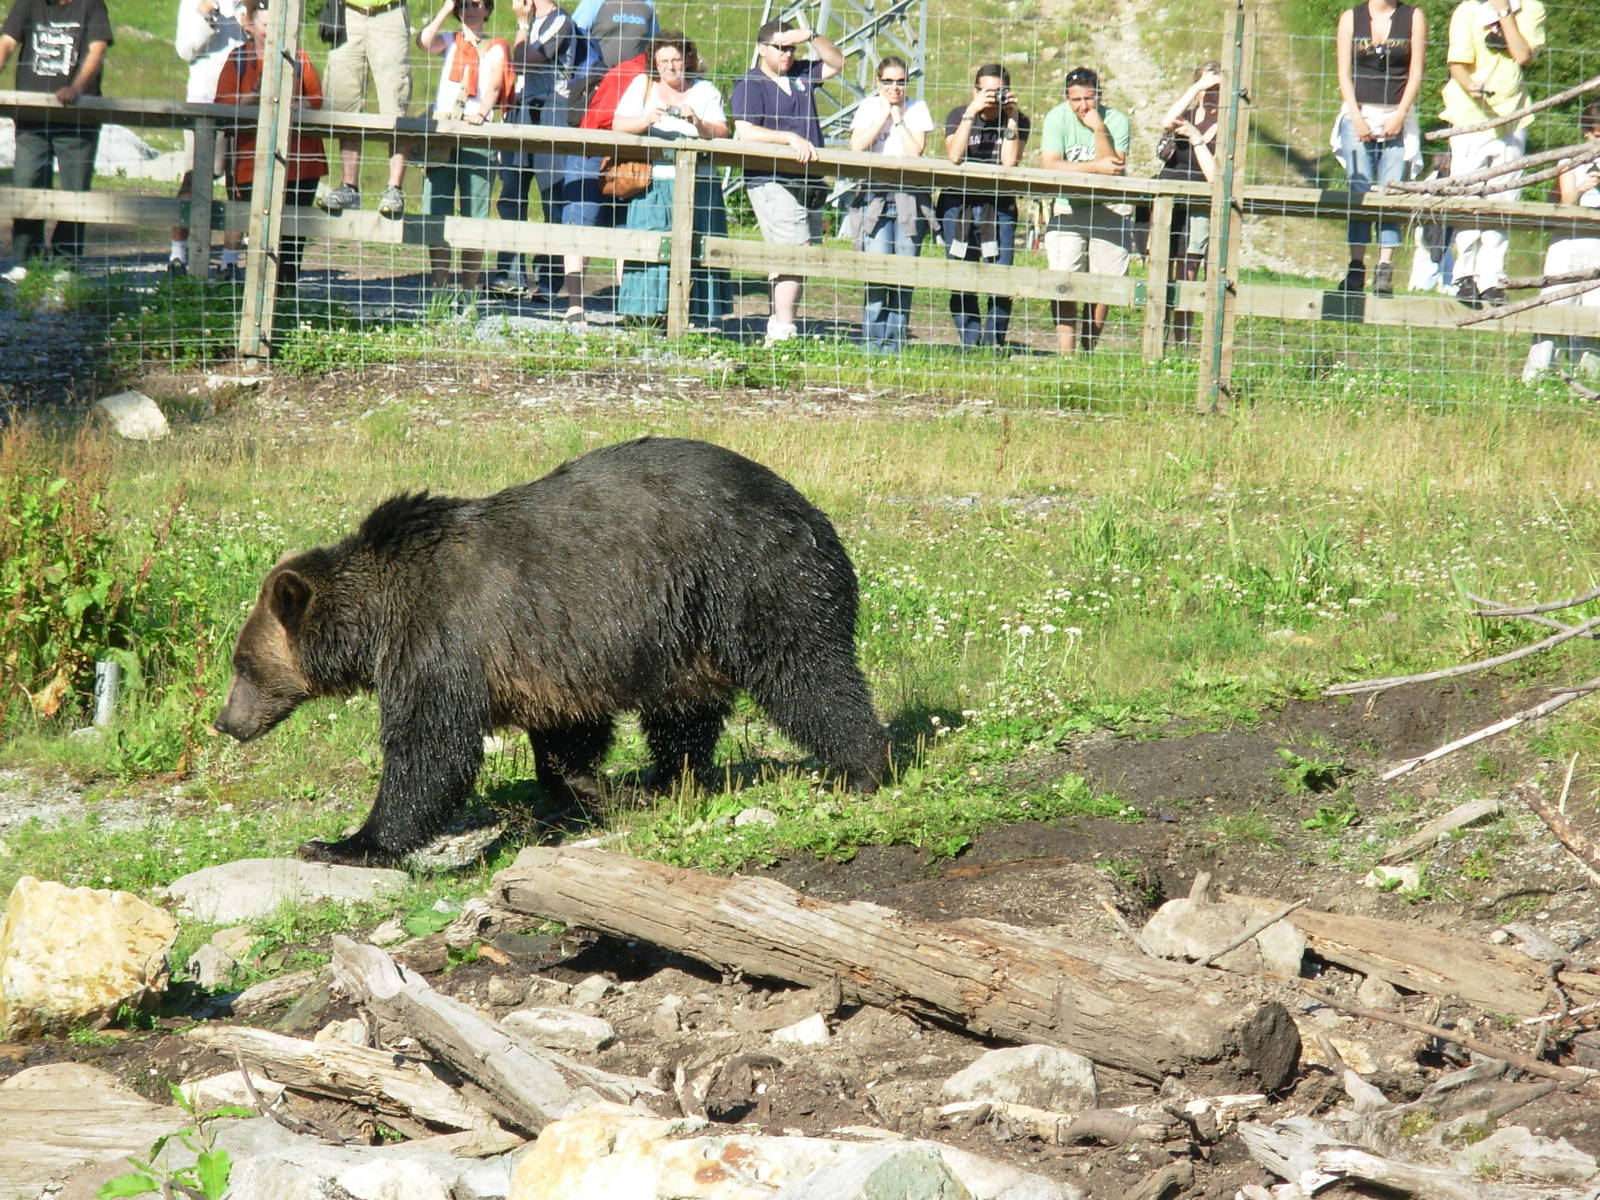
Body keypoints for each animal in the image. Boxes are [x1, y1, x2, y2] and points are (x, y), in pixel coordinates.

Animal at [214, 436, 888, 866]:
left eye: (243, 664)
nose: (226, 721)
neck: (378, 617)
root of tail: (808, 506)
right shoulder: (549, 654)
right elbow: (568, 734)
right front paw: (587, 790)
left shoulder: (442, 638)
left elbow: (429, 749)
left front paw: (346, 843)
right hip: (684, 634)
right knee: (684, 715)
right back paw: (667, 780)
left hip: (752, 581)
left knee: (808, 675)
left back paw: (862, 768)